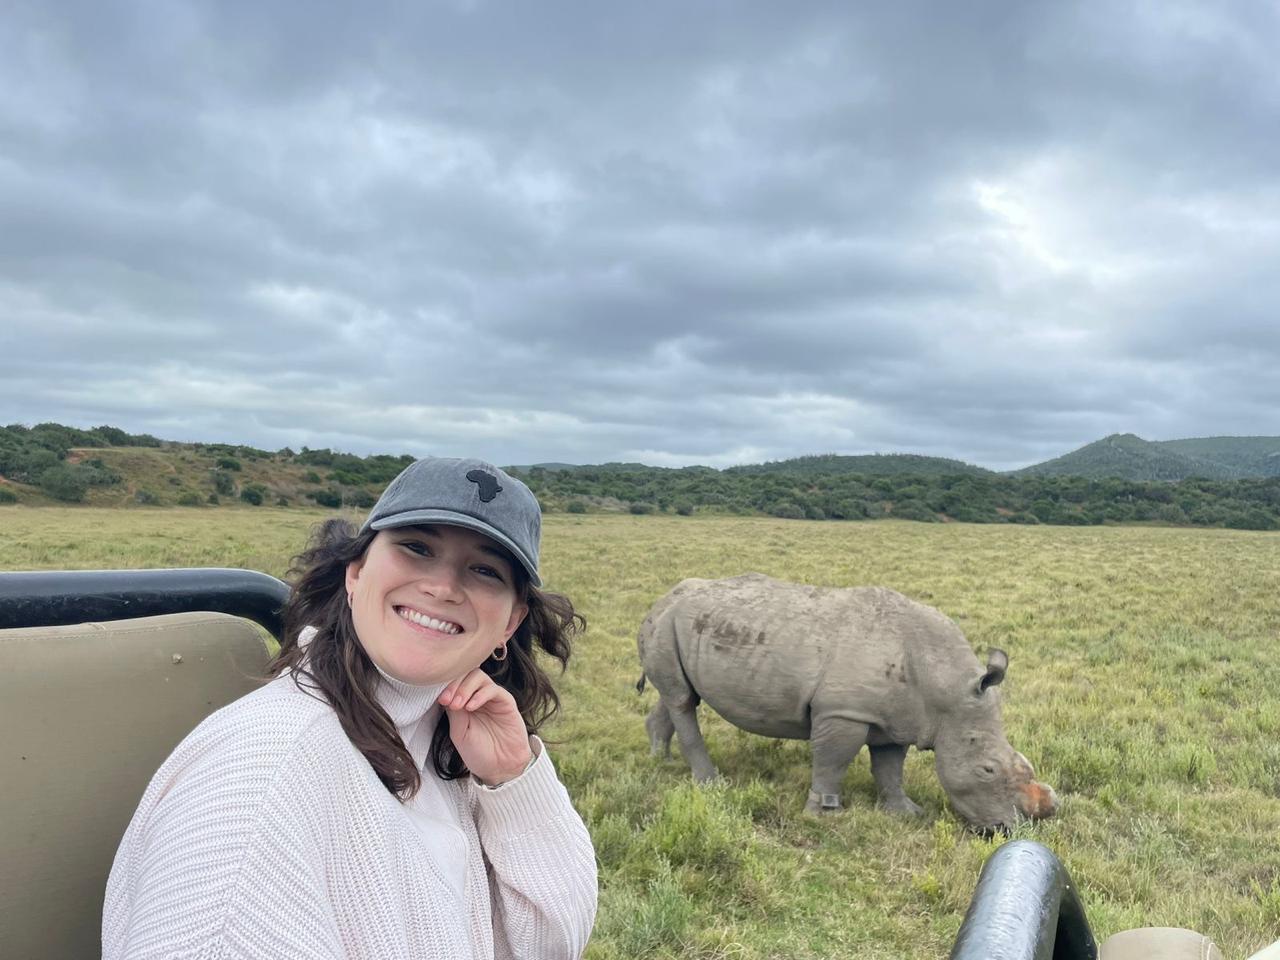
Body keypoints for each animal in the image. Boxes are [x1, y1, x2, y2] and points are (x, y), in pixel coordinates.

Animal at [634, 576, 1054, 829]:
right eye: (987, 770)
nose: (1013, 829)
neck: (945, 688)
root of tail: (662, 597)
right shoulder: (843, 712)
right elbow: (833, 760)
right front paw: (821, 815)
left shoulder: (897, 718)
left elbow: (889, 768)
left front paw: (905, 812)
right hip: (667, 621)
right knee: (683, 701)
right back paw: (711, 783)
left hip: (676, 624)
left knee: (679, 696)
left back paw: (660, 760)